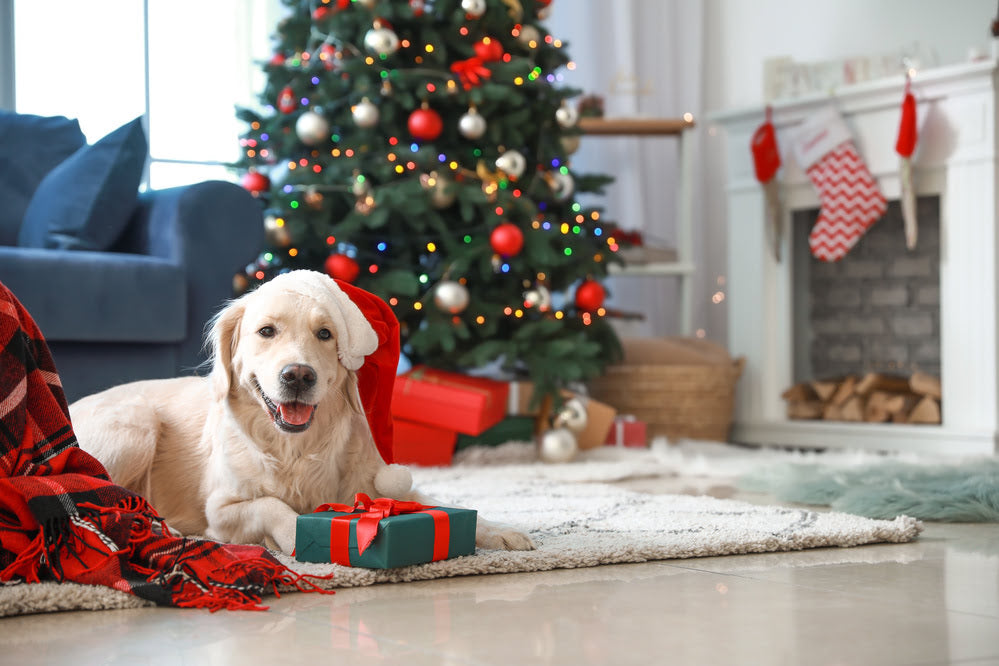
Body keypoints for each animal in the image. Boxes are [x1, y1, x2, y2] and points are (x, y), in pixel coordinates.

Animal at [69, 270, 532, 556]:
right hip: (136, 426)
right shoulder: (222, 509)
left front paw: (501, 530)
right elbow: (274, 505)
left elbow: (437, 502)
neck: (294, 449)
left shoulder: (376, 482)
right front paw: (298, 536)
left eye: (325, 334)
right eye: (266, 331)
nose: (298, 375)